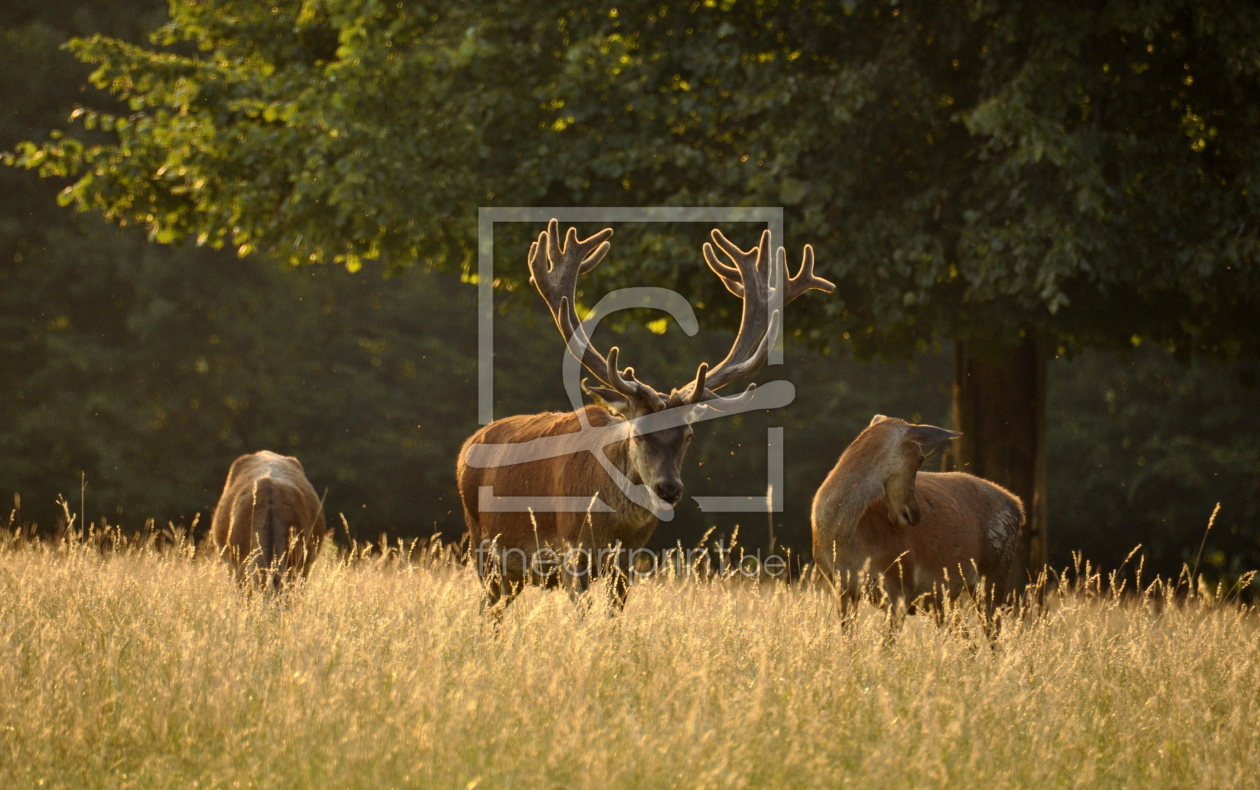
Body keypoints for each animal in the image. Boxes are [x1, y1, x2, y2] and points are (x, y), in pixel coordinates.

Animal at [458, 219, 831, 614]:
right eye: (639, 432)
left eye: (688, 436)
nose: (669, 488)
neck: (613, 527)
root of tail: (467, 446)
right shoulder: (572, 549)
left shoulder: (627, 561)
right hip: (482, 545)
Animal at [806, 413, 1023, 629]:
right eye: (921, 458)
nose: (915, 514)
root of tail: (1018, 507)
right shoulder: (841, 587)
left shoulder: (901, 583)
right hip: (942, 600)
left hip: (994, 572)